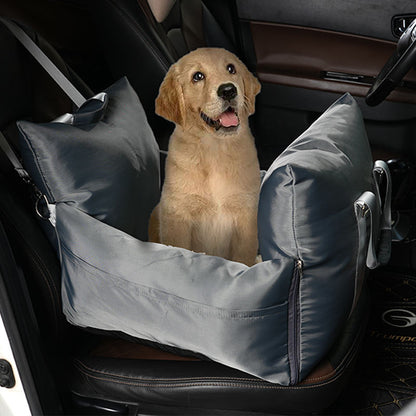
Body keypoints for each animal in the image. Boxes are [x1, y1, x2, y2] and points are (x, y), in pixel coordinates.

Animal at [150, 47, 260, 264]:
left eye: (231, 69)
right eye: (198, 76)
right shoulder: (177, 215)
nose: (228, 90)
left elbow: (243, 258)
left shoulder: (247, 215)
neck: (215, 149)